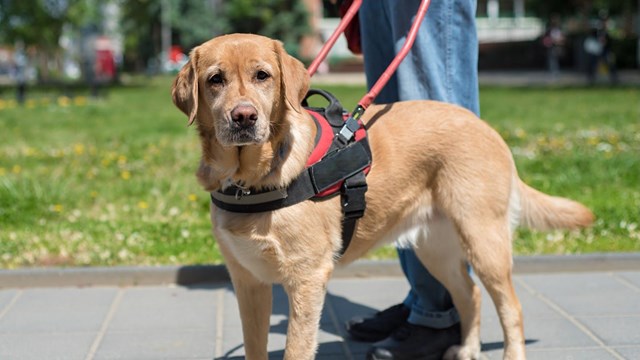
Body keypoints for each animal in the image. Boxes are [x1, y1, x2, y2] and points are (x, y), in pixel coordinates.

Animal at [171, 33, 596, 360]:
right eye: (215, 79)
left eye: (262, 76)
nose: (243, 117)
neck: (249, 179)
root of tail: (485, 126)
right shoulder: (248, 282)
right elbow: (254, 347)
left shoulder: (306, 278)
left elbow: (296, 348)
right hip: (435, 248)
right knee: (470, 294)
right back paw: (467, 349)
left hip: (483, 240)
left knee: (511, 307)